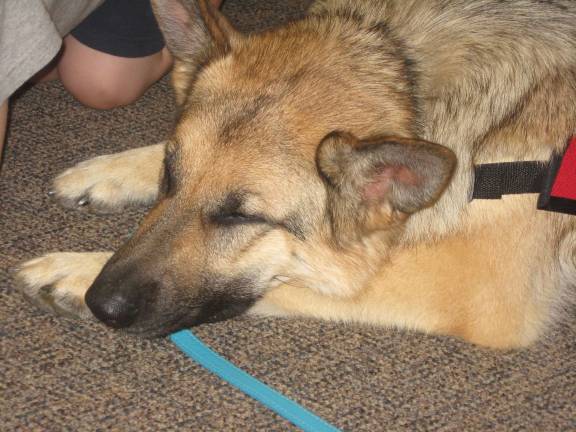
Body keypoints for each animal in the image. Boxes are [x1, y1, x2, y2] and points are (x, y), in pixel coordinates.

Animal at [14, 0, 576, 348]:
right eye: (169, 178)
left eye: (240, 217)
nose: (101, 302)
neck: (412, 79)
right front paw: (107, 172)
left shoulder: (475, 291)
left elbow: (308, 283)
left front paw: (73, 271)